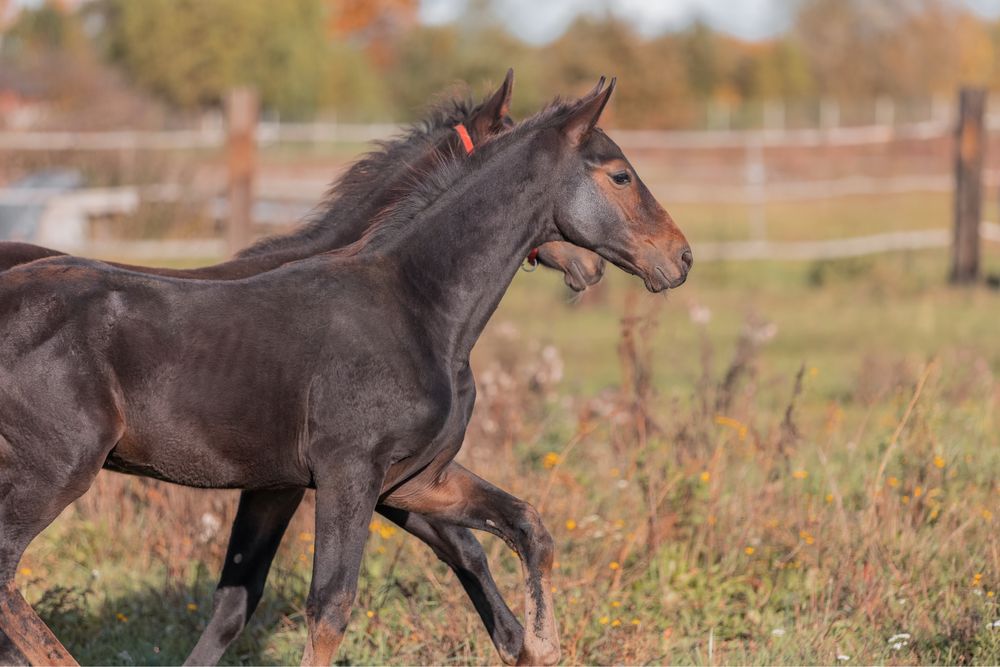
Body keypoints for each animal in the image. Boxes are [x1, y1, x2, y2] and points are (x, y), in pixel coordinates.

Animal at [0, 77, 691, 666]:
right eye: (621, 175)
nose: (679, 258)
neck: (416, 306)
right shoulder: (347, 472)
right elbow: (330, 607)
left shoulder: (408, 479)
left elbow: (522, 527)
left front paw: (541, 645)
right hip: (55, 468)